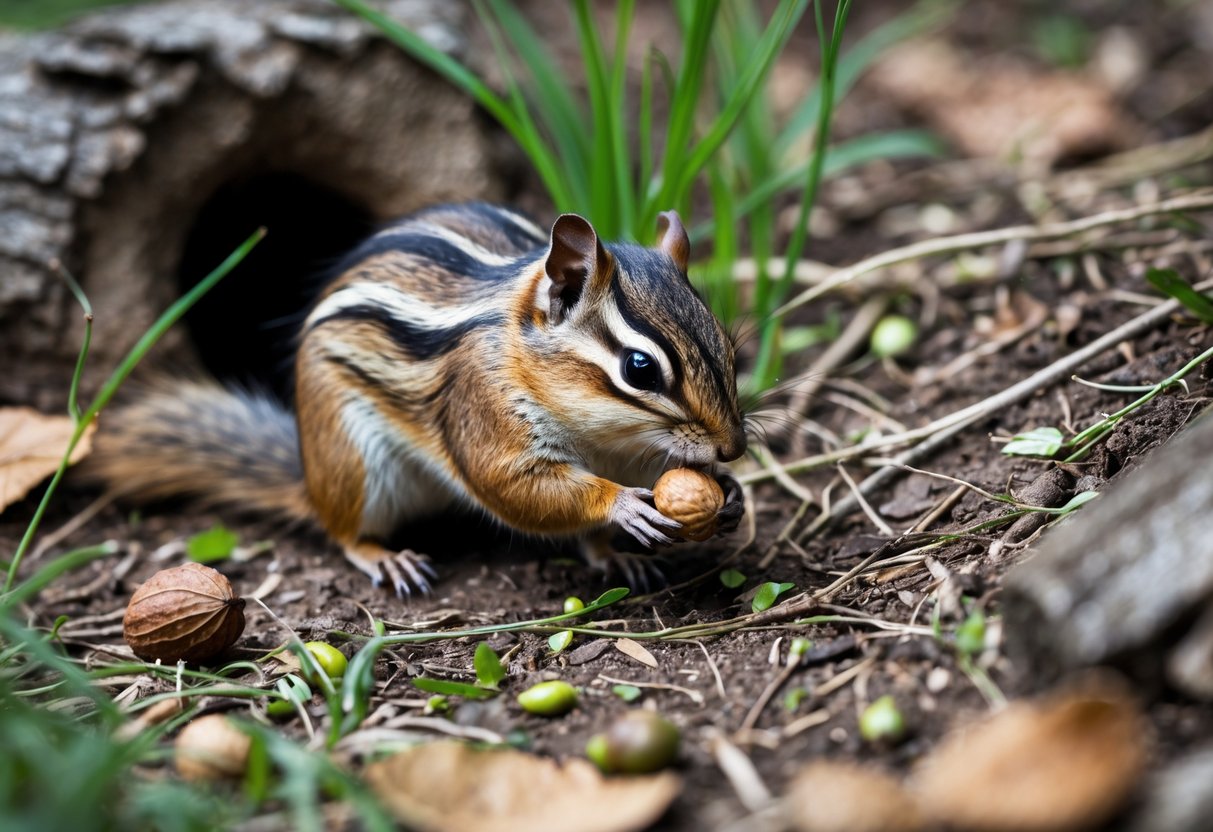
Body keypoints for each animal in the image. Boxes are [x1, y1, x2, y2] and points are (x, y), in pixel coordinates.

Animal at [87, 202, 748, 596]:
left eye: (726, 342)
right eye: (640, 368)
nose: (735, 448)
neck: (605, 439)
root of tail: (310, 477)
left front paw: (729, 496)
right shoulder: (483, 411)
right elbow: (513, 486)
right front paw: (623, 505)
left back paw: (617, 558)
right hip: (355, 463)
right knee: (344, 532)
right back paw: (384, 557)